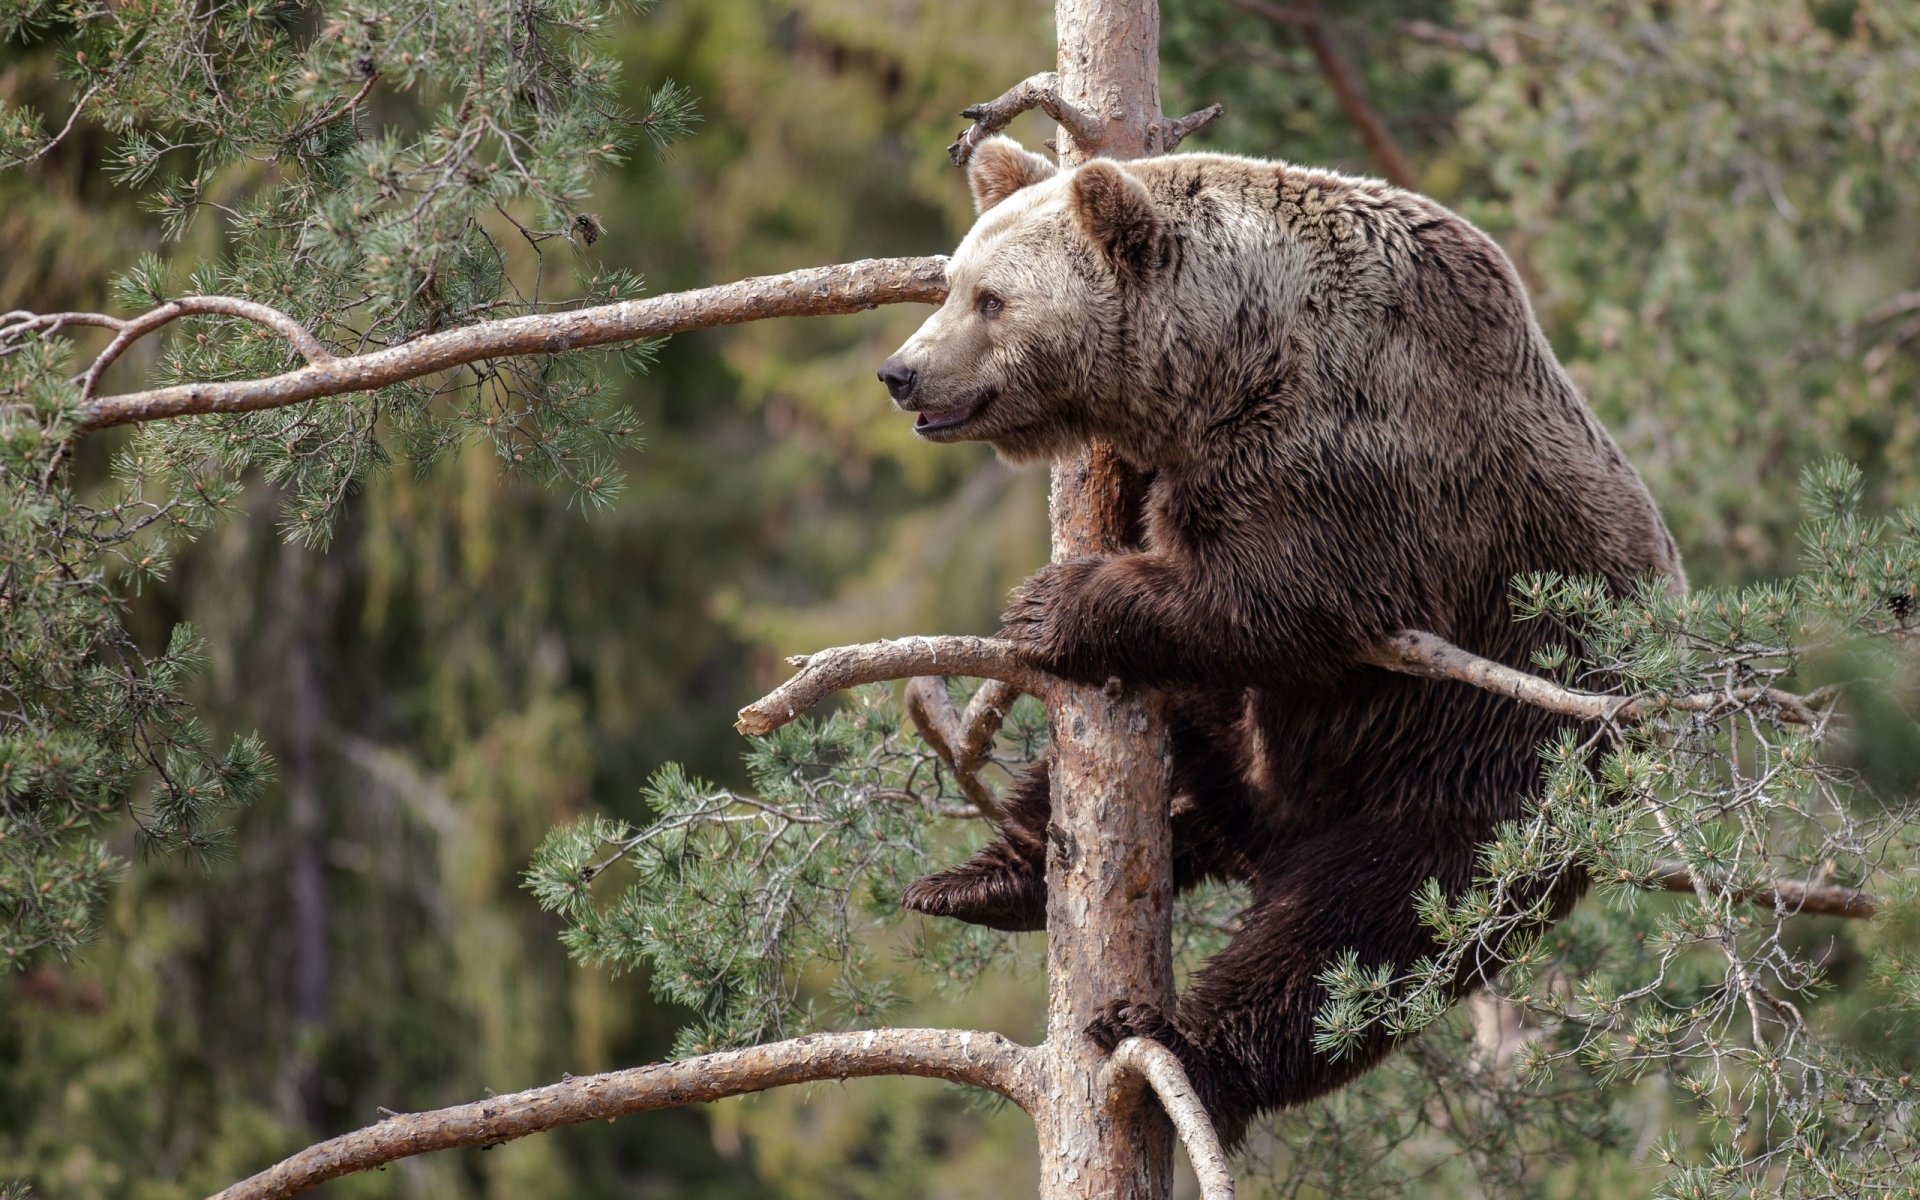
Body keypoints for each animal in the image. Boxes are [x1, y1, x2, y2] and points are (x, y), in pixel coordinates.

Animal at [876, 136, 1683, 1149]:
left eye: (991, 299)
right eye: (951, 283)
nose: (900, 372)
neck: (1232, 356)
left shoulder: (1354, 451)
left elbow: (1286, 596)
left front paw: (1051, 604)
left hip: (1492, 766)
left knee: (1359, 936)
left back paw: (1178, 1044)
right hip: (1269, 744)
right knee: (1162, 758)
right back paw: (984, 881)